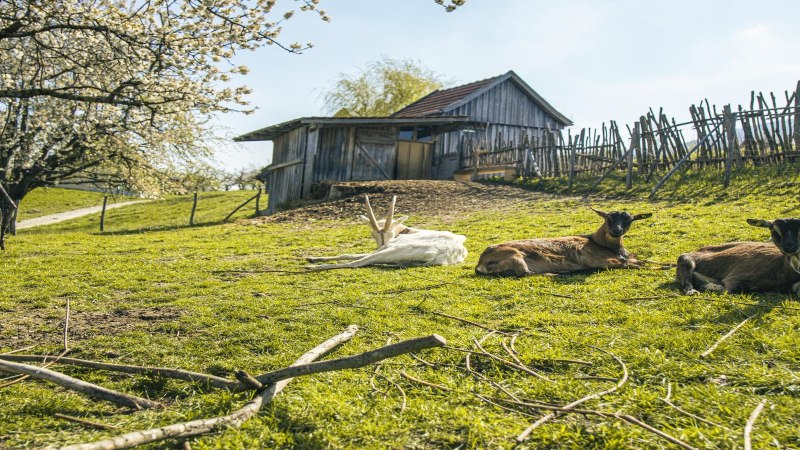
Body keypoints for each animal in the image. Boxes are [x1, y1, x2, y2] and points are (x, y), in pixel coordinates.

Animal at [305, 195, 467, 270]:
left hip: (392, 251)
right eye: (372, 235)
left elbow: (352, 256)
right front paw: (312, 257)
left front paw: (312, 260)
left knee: (357, 263)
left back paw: (311, 268)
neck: (408, 231)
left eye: (391, 234)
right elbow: (347, 254)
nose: (382, 244)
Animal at [475, 207, 652, 277]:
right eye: (608, 218)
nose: (617, 230)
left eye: (629, 220)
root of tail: (480, 264)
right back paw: (562, 272)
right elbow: (637, 264)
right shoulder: (599, 260)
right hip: (515, 256)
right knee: (524, 272)